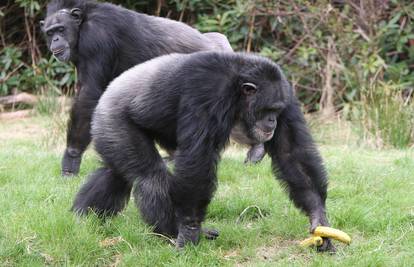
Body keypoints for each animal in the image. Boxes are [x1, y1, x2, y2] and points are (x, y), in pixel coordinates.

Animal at [39, 0, 266, 178]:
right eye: (50, 32)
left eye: (60, 29)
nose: (55, 39)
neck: (82, 23)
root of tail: (221, 44)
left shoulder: (97, 38)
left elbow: (89, 95)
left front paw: (71, 158)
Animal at [72, 50, 334, 253]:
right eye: (266, 110)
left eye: (277, 110)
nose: (272, 121)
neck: (237, 91)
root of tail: (109, 89)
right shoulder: (207, 92)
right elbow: (197, 160)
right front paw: (189, 231)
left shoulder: (286, 94)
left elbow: (291, 153)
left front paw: (319, 220)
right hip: (114, 120)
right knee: (150, 176)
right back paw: (170, 231)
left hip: (109, 130)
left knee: (115, 173)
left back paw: (83, 216)